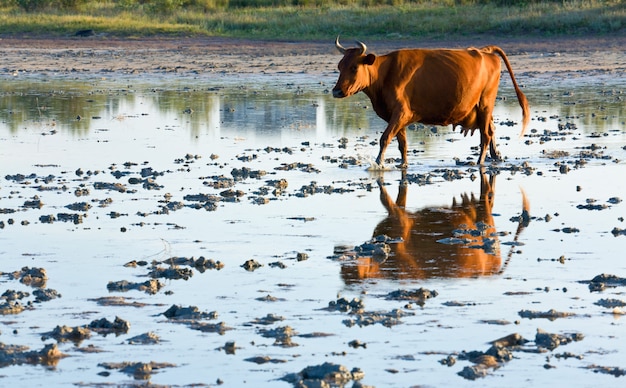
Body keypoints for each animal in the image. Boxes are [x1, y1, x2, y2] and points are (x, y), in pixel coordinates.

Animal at [332, 37, 528, 167]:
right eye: (340, 66)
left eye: (354, 67)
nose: (336, 91)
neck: (386, 73)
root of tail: (484, 51)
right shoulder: (397, 117)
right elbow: (402, 144)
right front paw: (403, 164)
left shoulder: (401, 112)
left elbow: (385, 138)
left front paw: (378, 163)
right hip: (481, 108)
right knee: (491, 128)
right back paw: (496, 155)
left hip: (485, 103)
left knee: (486, 134)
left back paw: (479, 161)